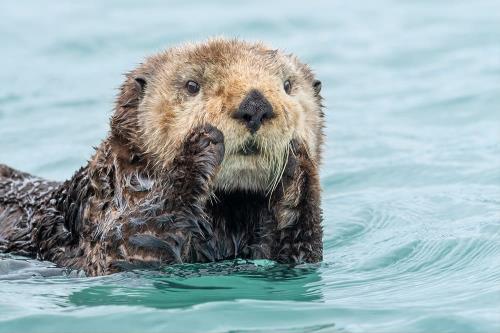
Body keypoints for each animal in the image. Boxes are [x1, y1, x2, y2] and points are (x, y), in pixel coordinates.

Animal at [0, 38, 324, 274]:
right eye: (192, 85)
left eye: (287, 86)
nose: (255, 105)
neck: (226, 213)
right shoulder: (99, 220)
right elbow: (126, 249)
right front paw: (199, 146)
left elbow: (299, 251)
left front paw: (299, 167)